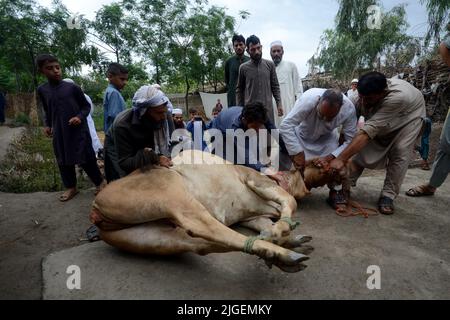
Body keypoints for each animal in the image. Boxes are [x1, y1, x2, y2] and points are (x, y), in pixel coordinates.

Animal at [89, 150, 332, 272]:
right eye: (317, 166)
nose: (330, 167)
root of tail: (95, 208)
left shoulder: (254, 216)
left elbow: (270, 225)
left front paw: (280, 235)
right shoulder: (255, 180)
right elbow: (290, 203)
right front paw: (280, 232)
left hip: (148, 238)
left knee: (197, 244)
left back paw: (278, 254)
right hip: (174, 196)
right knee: (209, 229)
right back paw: (283, 254)